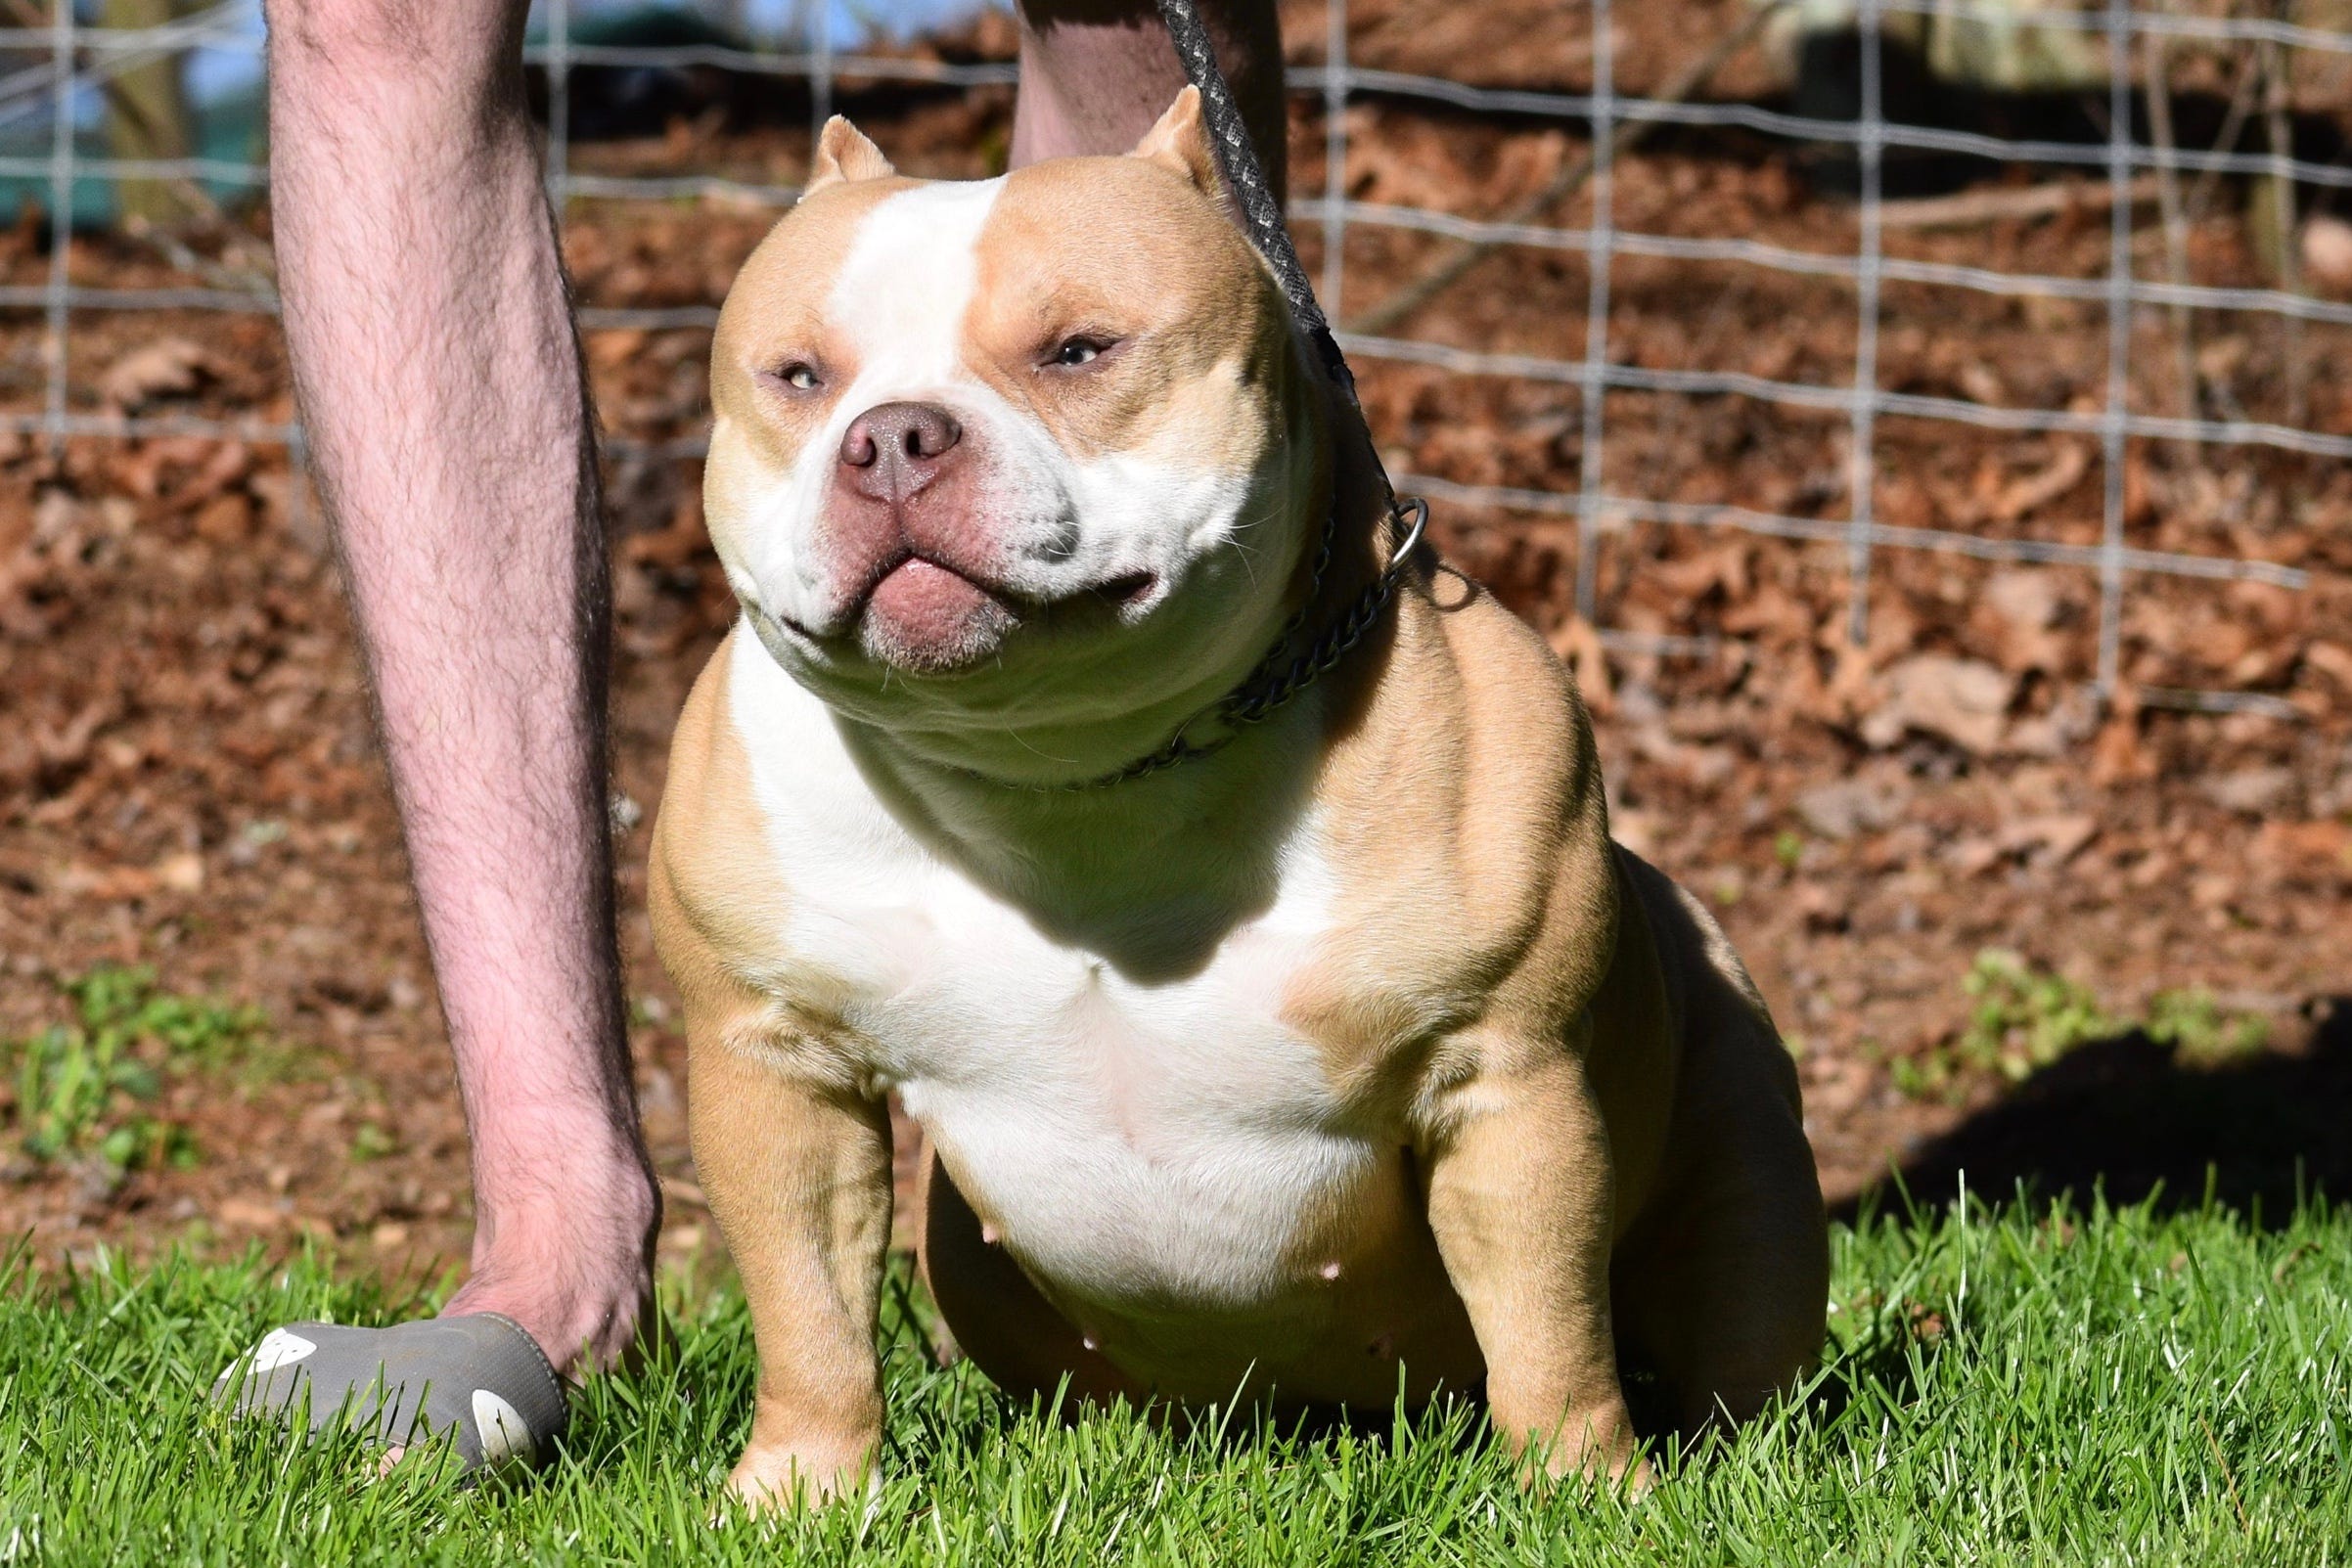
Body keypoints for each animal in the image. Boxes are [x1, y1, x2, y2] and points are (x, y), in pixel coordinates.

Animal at [654, 88, 1825, 1504]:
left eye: (1079, 350)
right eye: (799, 377)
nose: (891, 438)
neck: (1067, 764)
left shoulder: (1509, 1078)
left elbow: (1548, 1321)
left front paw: (1586, 1491)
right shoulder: (775, 1064)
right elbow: (808, 1303)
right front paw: (803, 1489)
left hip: (1748, 1190)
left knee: (1730, 1338)